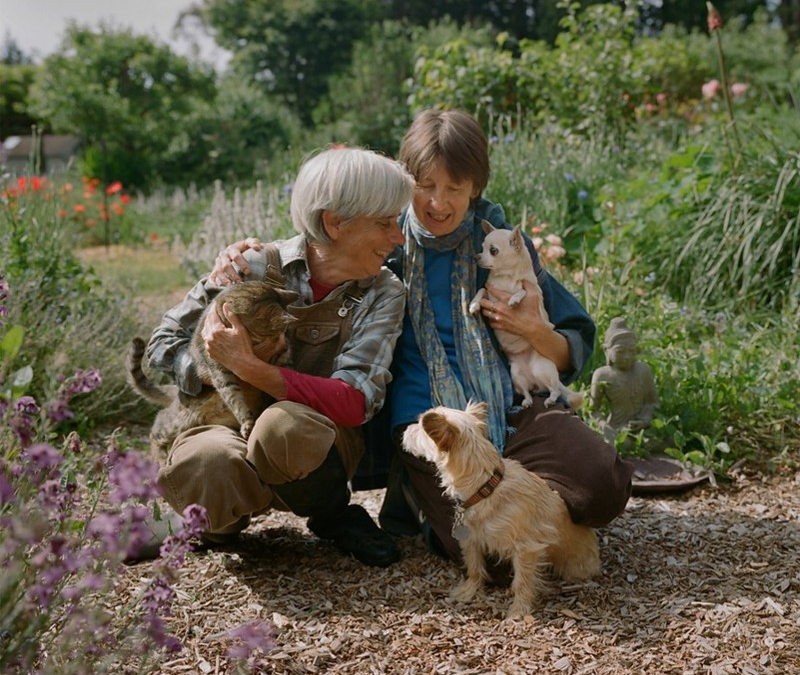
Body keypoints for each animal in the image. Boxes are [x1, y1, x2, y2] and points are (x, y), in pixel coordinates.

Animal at [128, 280, 296, 460]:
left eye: (283, 334)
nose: (285, 338)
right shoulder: (220, 371)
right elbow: (234, 397)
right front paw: (247, 421)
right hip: (178, 420)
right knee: (157, 428)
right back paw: (159, 460)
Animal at [406, 402, 600, 616]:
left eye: (419, 428)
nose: (405, 431)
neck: (486, 487)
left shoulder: (526, 548)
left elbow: (522, 582)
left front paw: (519, 610)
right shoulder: (471, 539)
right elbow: (474, 567)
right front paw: (469, 590)